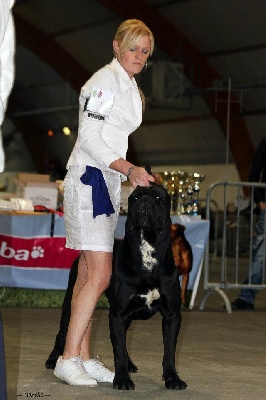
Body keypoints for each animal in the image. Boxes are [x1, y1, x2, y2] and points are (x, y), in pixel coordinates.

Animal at [45, 185, 187, 390]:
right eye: (135, 197)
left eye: (158, 197)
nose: (144, 200)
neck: (147, 248)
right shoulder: (118, 314)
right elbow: (118, 349)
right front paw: (122, 379)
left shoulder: (172, 314)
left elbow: (169, 350)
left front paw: (172, 378)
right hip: (71, 301)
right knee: (64, 331)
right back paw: (53, 359)